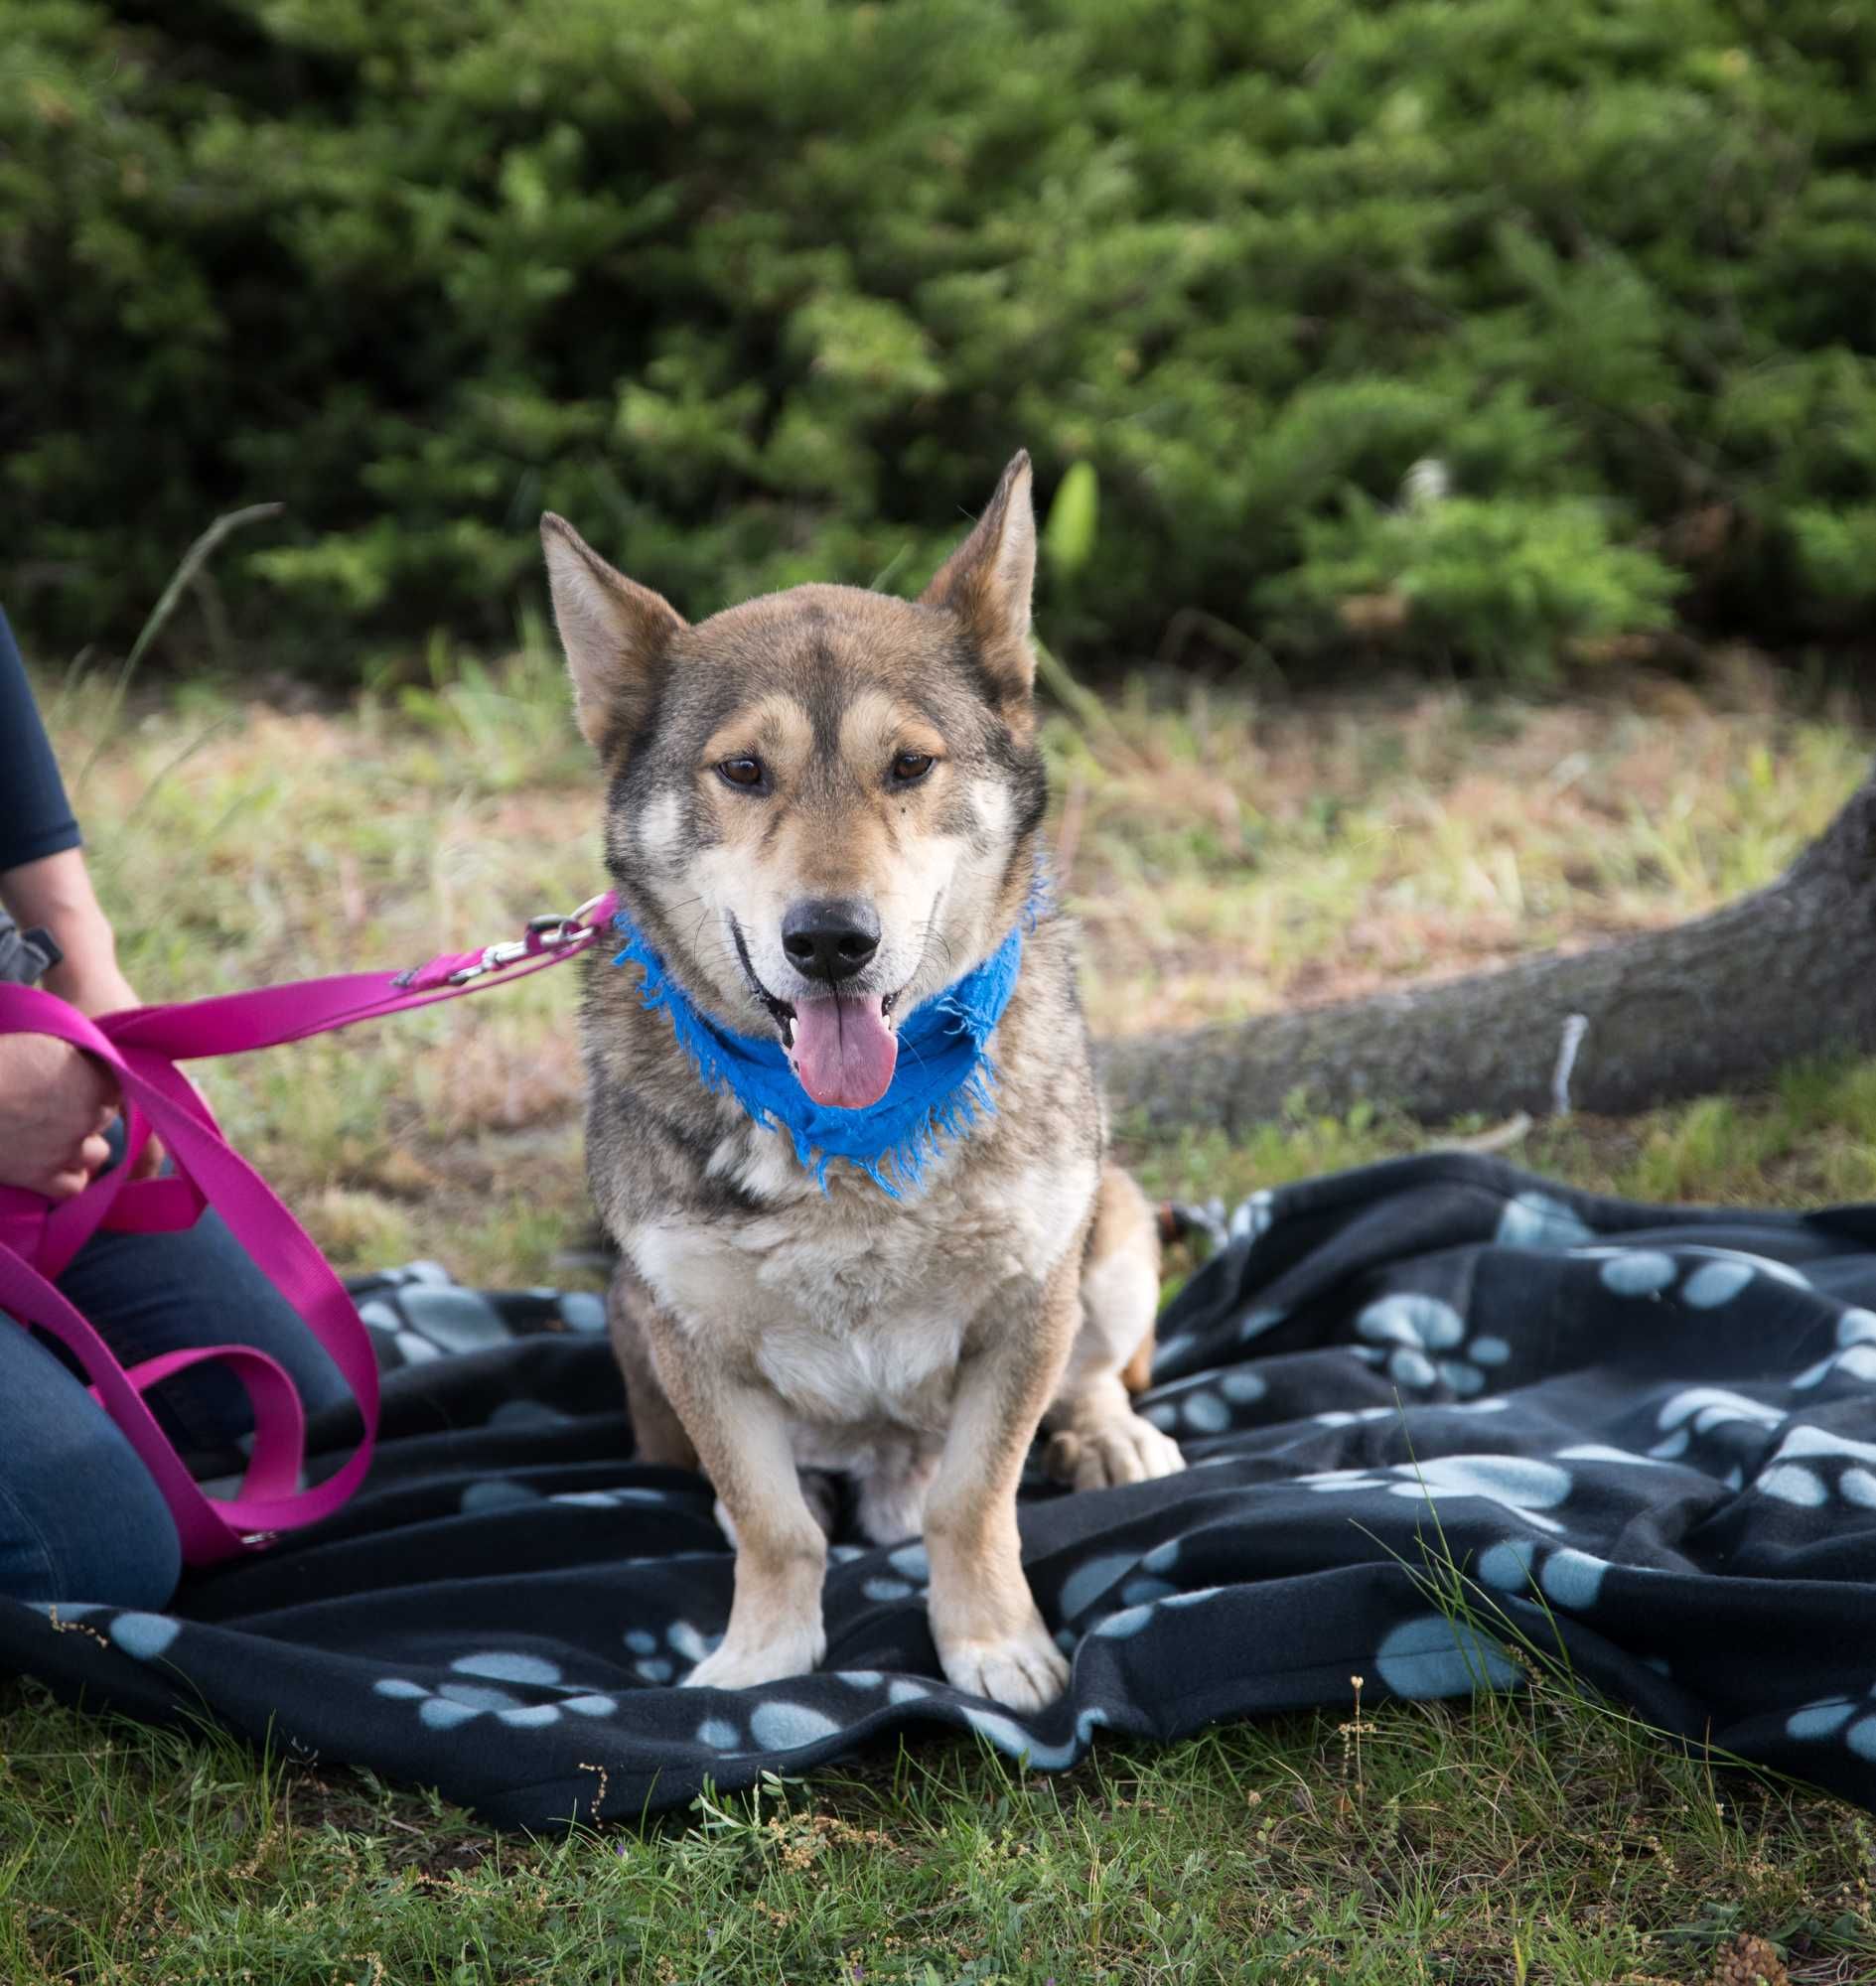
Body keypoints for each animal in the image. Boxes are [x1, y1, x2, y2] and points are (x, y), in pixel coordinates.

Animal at [544, 455, 1184, 1708]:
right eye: (743, 770)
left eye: (909, 765)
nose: (831, 940)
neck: (847, 1137)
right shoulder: (688, 1335)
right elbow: (769, 1522)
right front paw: (760, 1662)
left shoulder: (1025, 1302)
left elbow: (973, 1498)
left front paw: (990, 1643)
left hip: (1115, 1226)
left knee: (1096, 1368)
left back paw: (1110, 1434)